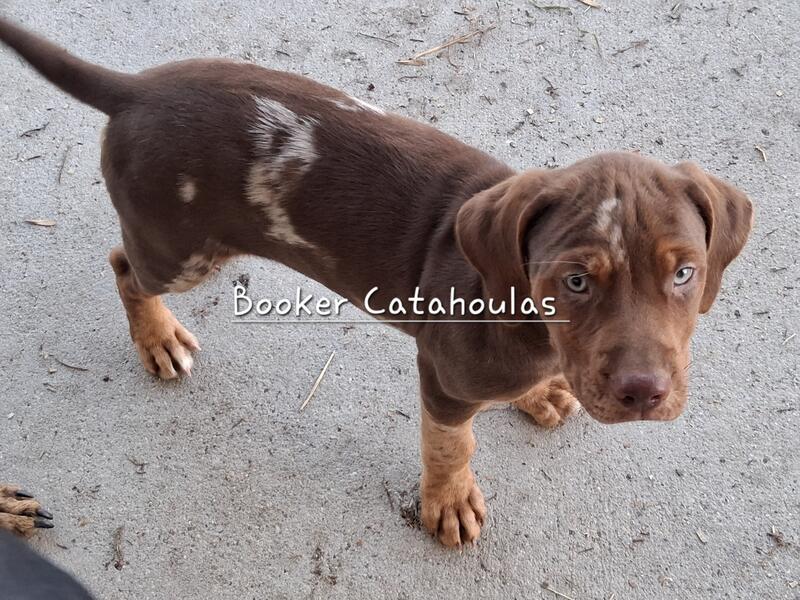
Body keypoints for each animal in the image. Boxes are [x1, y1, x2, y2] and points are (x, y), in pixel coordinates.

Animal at [0, 16, 752, 547]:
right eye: (575, 281)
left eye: (684, 273)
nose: (643, 394)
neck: (526, 321)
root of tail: (137, 89)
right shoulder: (442, 378)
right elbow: (452, 444)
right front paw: (449, 503)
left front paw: (537, 394)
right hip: (176, 250)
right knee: (126, 269)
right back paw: (158, 339)